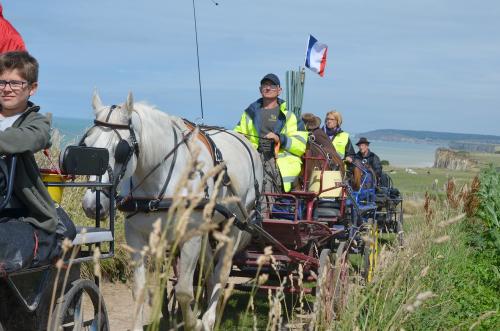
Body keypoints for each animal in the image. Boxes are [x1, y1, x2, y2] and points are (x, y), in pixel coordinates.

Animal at [81, 92, 262, 330]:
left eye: (120, 150)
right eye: (87, 144)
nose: (92, 204)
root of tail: (247, 143)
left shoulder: (190, 236)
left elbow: (183, 290)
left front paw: (194, 323)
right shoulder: (136, 236)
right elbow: (139, 288)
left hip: (233, 225)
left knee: (220, 274)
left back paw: (209, 318)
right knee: (208, 270)